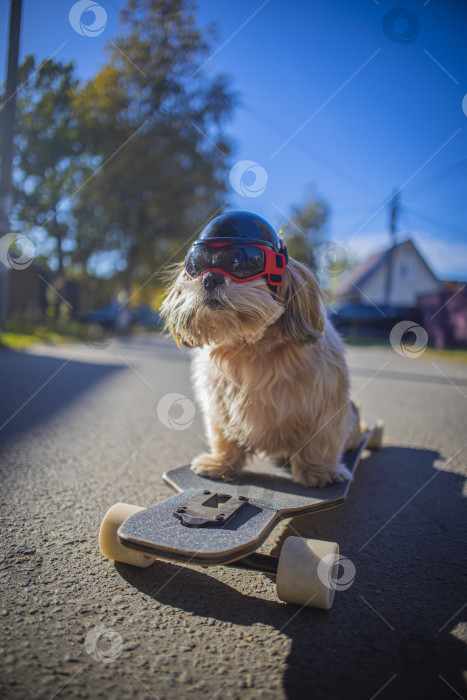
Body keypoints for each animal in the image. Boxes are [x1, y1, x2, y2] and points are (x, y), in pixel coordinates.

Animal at [161, 209, 362, 486]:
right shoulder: (220, 406)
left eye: (241, 261)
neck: (252, 345)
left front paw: (319, 471)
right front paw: (221, 463)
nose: (211, 277)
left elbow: (320, 440)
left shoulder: (325, 404)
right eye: (197, 265)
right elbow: (224, 435)